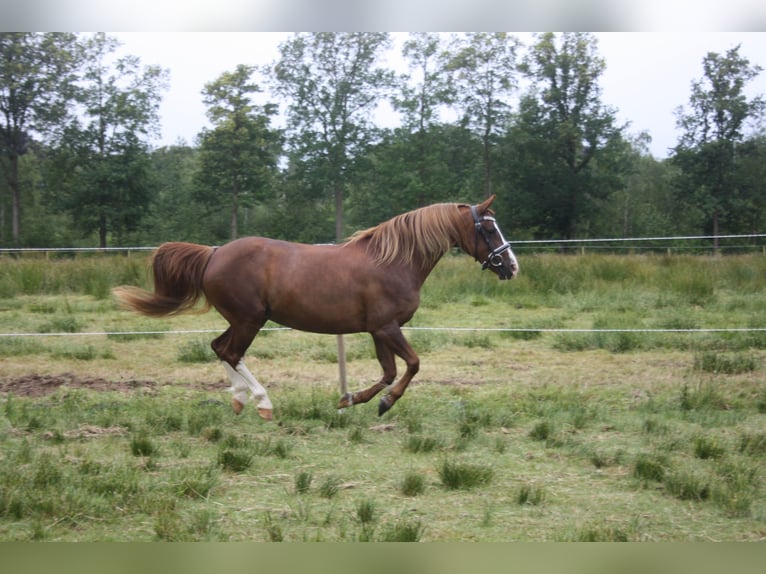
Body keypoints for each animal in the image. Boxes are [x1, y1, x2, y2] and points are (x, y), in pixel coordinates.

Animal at [114, 196, 520, 420]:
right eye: (489, 229)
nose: (512, 266)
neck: (394, 262)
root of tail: (214, 253)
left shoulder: (378, 330)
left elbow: (389, 371)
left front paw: (352, 399)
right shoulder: (387, 327)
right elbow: (413, 365)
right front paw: (383, 403)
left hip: (243, 319)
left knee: (219, 348)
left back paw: (240, 401)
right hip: (249, 320)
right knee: (230, 352)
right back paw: (262, 403)